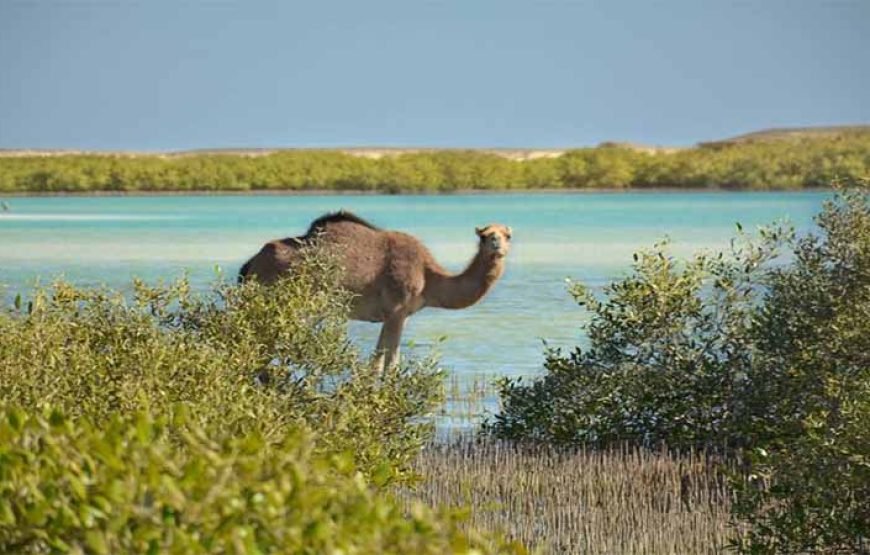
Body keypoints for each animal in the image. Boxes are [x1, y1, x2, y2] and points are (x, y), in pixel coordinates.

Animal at [239, 211, 512, 371]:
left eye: (507, 235)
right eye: (484, 235)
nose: (496, 244)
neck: (428, 275)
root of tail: (251, 264)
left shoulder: (395, 315)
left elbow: (378, 361)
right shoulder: (396, 311)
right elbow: (388, 364)